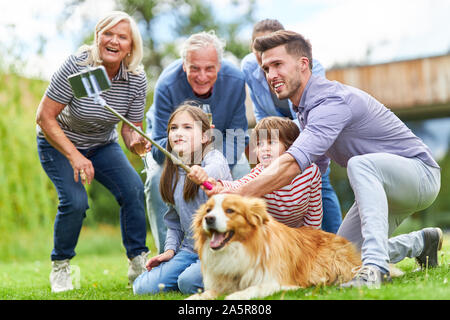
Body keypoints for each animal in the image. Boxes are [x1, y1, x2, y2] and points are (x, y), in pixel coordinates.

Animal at [186, 194, 362, 302]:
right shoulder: (221, 283)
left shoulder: (278, 282)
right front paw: (195, 297)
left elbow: (254, 288)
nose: (208, 218)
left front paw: (236, 295)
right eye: (208, 210)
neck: (237, 250)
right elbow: (207, 293)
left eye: (230, 210)